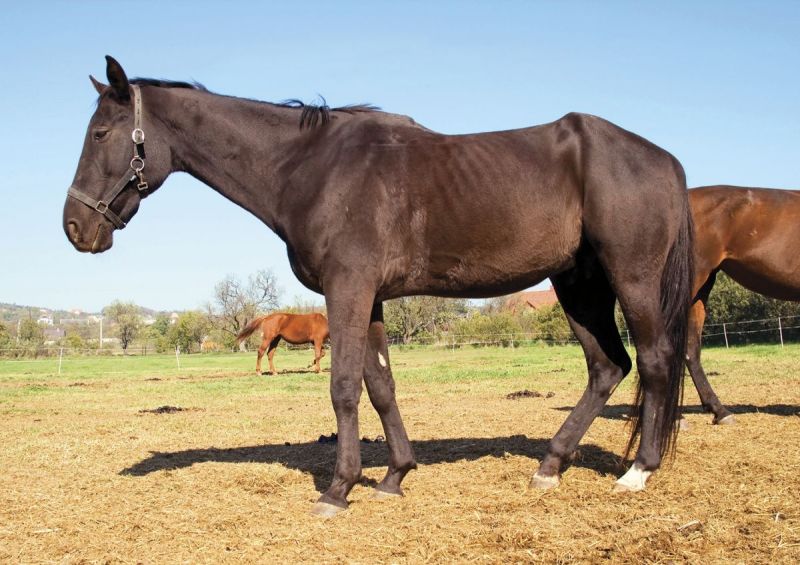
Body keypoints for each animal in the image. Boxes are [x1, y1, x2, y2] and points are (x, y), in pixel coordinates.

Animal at [63, 56, 693, 516]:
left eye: (100, 133)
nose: (75, 228)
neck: (311, 167)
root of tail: (664, 159)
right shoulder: (370, 301)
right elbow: (382, 386)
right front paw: (395, 475)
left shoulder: (348, 290)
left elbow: (343, 387)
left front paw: (339, 489)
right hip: (578, 287)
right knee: (607, 366)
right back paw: (549, 466)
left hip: (631, 278)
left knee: (656, 359)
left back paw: (639, 470)